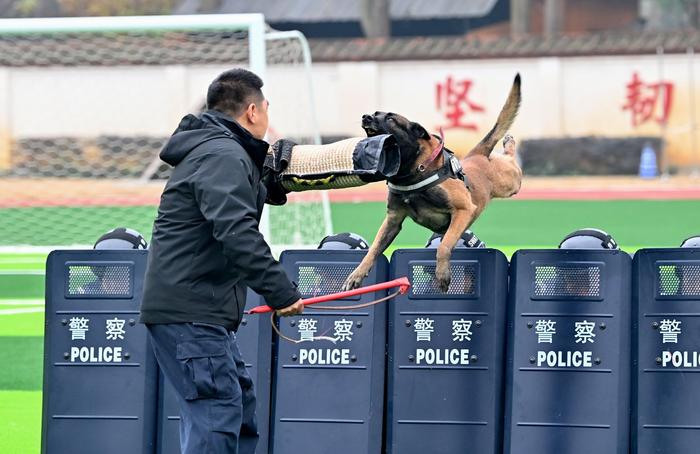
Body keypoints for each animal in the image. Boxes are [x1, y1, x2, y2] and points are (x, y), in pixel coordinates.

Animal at [342, 72, 524, 292]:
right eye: (375, 113)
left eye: (391, 119)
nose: (366, 117)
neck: (411, 173)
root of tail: (476, 155)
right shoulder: (393, 220)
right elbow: (373, 249)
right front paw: (356, 275)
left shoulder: (463, 210)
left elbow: (444, 246)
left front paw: (442, 274)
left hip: (510, 182)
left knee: (512, 162)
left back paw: (510, 144)